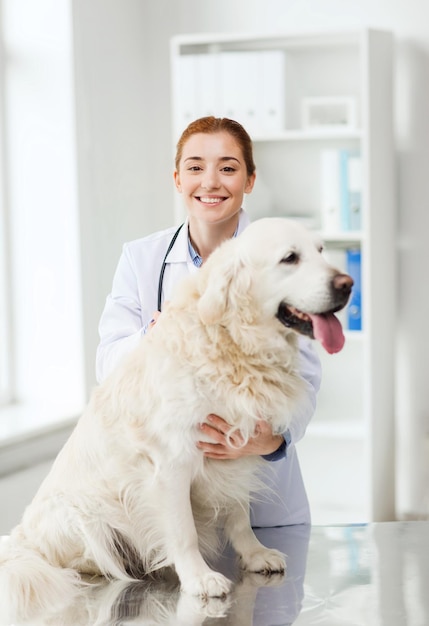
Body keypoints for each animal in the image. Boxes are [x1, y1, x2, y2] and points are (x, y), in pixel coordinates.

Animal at [0, 218, 352, 620]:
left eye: (321, 251)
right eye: (290, 258)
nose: (348, 284)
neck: (233, 343)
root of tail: (22, 541)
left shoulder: (235, 453)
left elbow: (239, 516)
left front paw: (254, 553)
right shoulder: (171, 463)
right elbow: (183, 532)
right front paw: (199, 578)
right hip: (80, 517)